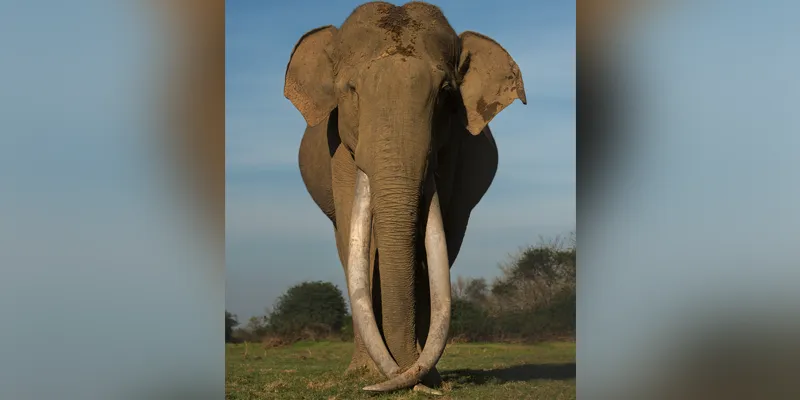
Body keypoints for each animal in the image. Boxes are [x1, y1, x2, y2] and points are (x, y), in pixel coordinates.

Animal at [283, 1, 526, 394]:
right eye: (351, 89)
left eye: (445, 94)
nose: (403, 376)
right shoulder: (340, 147)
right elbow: (361, 244)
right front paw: (366, 376)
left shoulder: (453, 152)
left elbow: (435, 247)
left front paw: (425, 377)